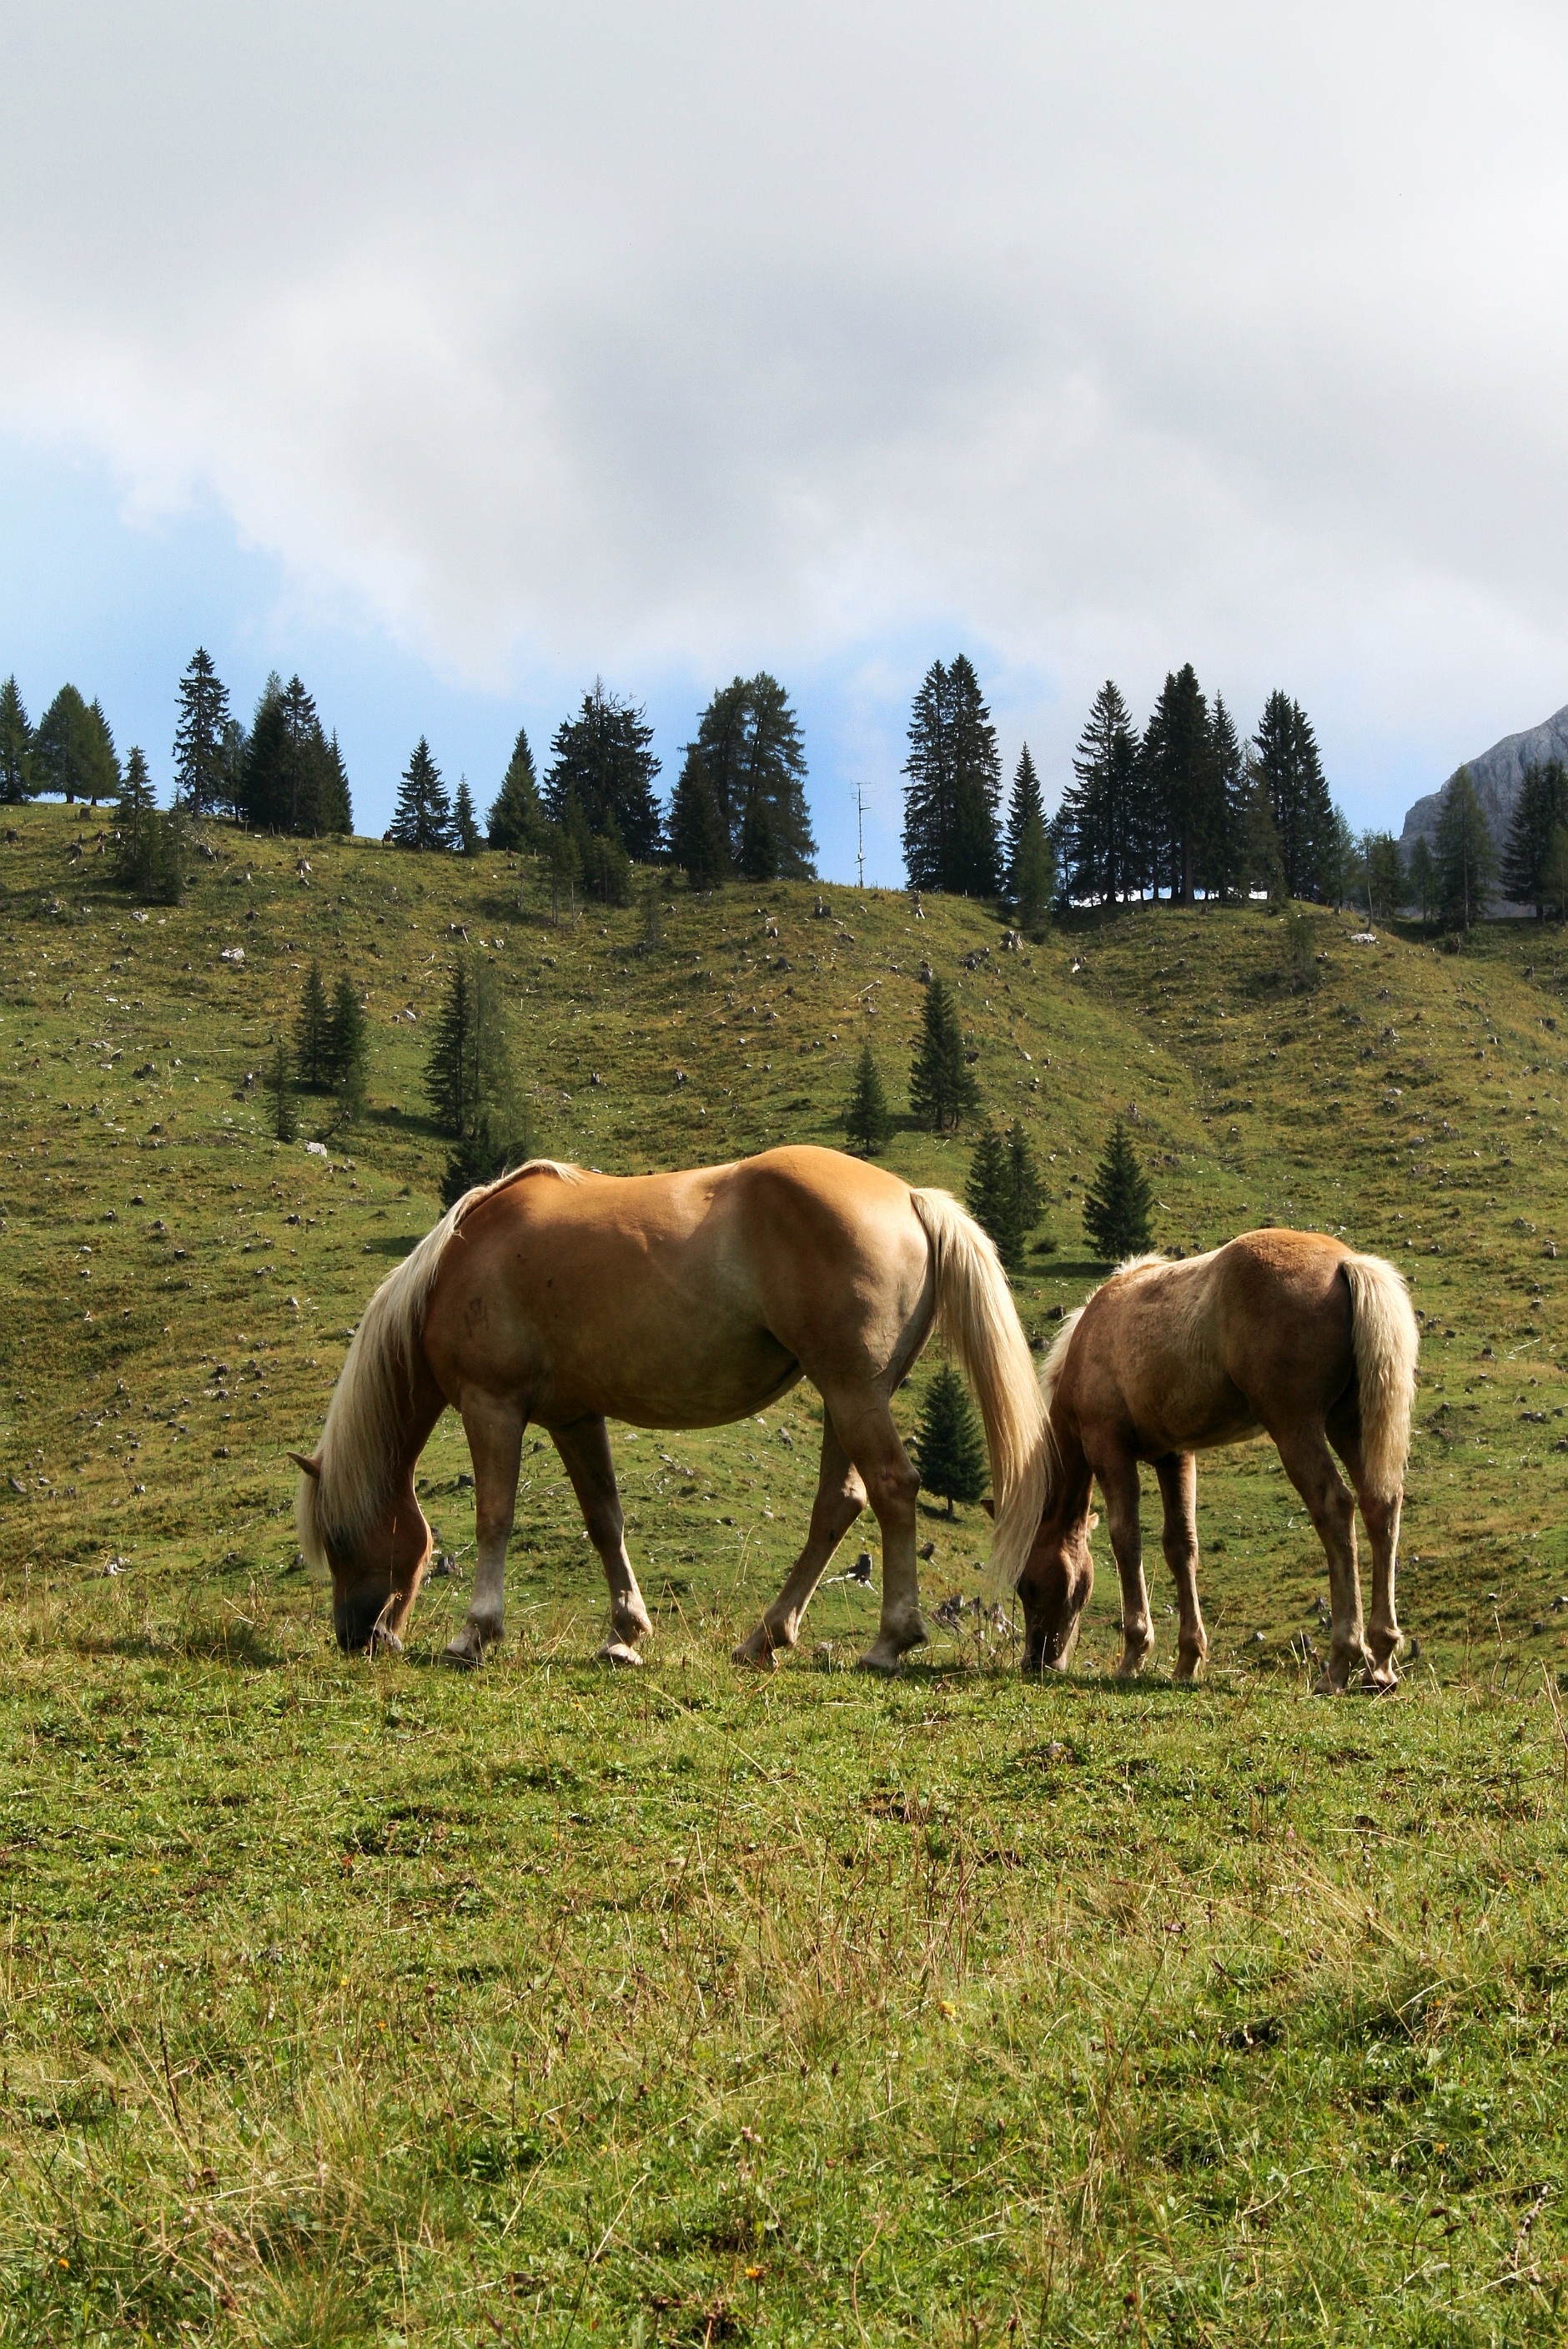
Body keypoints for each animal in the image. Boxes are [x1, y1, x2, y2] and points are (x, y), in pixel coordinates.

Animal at [292, 1141, 1042, 1672]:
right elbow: (605, 1521)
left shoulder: (491, 1406)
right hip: (847, 1396)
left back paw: (889, 1641)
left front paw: (474, 1634)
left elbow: (494, 1517)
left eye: (337, 1539)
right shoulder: (574, 1417)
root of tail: (911, 1198)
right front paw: (624, 1635)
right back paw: (764, 1638)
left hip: (853, 1392)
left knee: (892, 1489)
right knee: (840, 1504)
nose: (356, 1638)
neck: (458, 1263)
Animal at [1018, 1230, 1417, 1691]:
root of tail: (1345, 1264)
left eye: (1027, 1585)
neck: (1092, 1337)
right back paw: (1381, 1661)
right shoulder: (1174, 1455)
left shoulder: (1109, 1450)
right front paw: (1188, 1660)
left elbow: (1126, 1540)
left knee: (1335, 1507)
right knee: (1379, 1506)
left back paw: (1340, 1662)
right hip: (1348, 1423)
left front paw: (1134, 1654)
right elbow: (1181, 1546)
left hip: (1296, 1427)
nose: (1035, 1660)